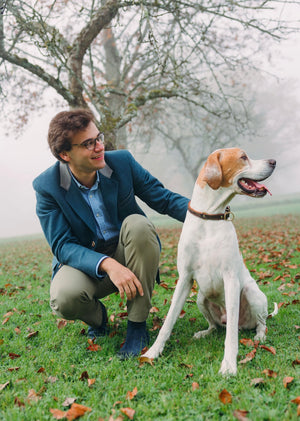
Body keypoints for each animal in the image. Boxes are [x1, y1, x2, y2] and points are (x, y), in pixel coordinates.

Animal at [144, 147, 278, 374]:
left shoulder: (231, 279)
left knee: (259, 324)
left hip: (251, 293)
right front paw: (153, 351)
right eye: (243, 157)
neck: (210, 217)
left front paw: (229, 364)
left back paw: (259, 336)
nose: (274, 161)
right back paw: (205, 332)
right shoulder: (185, 278)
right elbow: (168, 321)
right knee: (216, 326)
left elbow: (231, 335)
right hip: (201, 298)